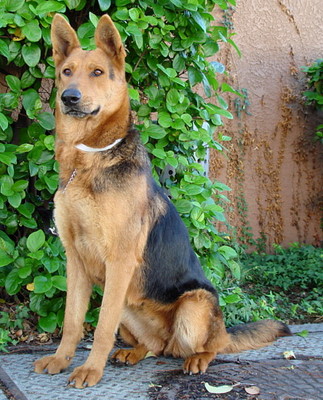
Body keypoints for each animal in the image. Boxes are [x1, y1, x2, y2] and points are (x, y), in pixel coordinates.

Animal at [34, 14, 292, 388]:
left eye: (97, 72)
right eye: (67, 71)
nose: (69, 97)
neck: (89, 159)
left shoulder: (119, 260)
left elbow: (100, 328)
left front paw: (90, 370)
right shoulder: (75, 262)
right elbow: (71, 322)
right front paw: (60, 360)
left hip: (193, 306)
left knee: (211, 345)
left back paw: (198, 359)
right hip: (129, 306)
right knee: (155, 346)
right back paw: (134, 352)